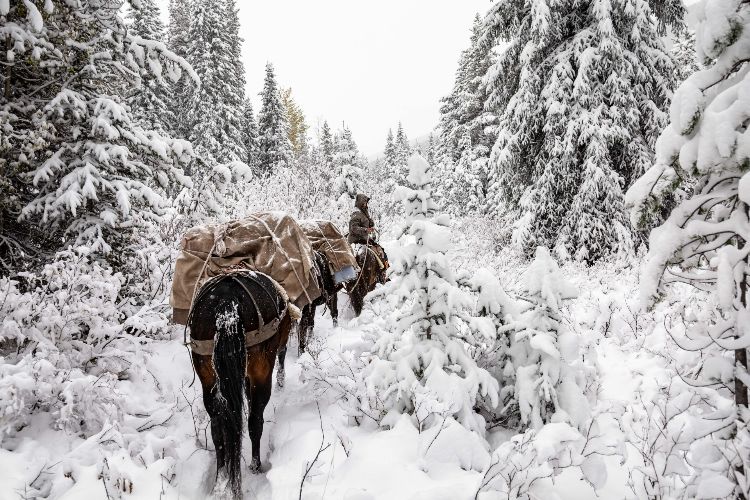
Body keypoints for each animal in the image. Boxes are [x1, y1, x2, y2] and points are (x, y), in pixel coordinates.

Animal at [188, 270, 294, 496]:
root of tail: (227, 302)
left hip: (207, 375)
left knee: (217, 427)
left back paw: (221, 480)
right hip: (262, 369)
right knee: (255, 420)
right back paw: (255, 465)